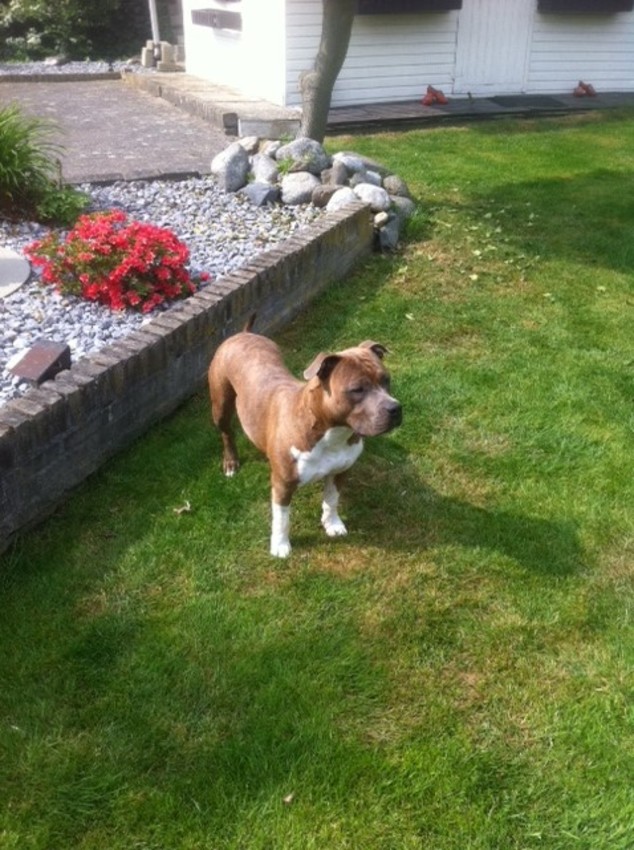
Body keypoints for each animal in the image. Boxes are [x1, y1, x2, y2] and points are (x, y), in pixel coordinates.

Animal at [208, 322, 402, 557]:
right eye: (357, 389)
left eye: (386, 380)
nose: (395, 408)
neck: (332, 435)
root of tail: (243, 334)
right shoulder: (283, 484)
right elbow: (282, 519)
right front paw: (280, 545)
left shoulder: (340, 471)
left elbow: (331, 500)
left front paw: (332, 523)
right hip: (220, 404)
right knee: (227, 432)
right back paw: (230, 462)